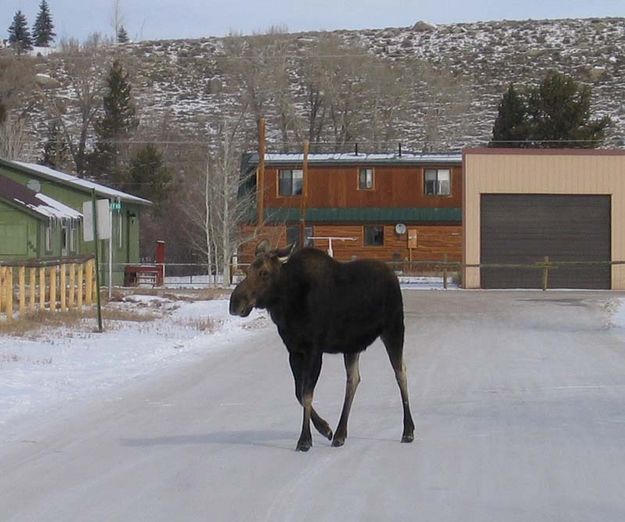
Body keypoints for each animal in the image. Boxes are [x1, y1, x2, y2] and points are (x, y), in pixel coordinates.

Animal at [229, 240, 414, 446]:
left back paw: (408, 430)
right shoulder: (294, 350)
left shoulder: (314, 349)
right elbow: (299, 393)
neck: (286, 304)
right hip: (352, 346)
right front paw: (325, 429)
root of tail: (393, 276)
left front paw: (305, 440)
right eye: (247, 271)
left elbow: (307, 394)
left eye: (264, 272)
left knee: (400, 372)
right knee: (353, 379)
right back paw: (341, 433)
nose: (235, 303)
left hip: (394, 330)